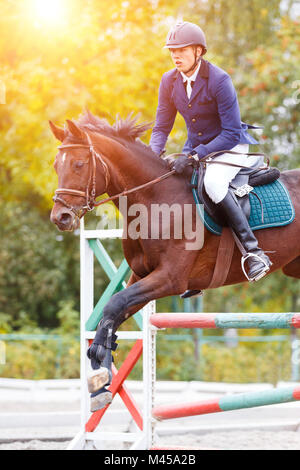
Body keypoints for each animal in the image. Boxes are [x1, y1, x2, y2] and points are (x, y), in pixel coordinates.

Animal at [49, 112, 300, 410]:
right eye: (56, 165)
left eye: (79, 164)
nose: (60, 218)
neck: (152, 199)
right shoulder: (142, 276)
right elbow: (111, 314)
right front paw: (102, 377)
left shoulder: (170, 278)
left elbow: (114, 304)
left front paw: (99, 363)